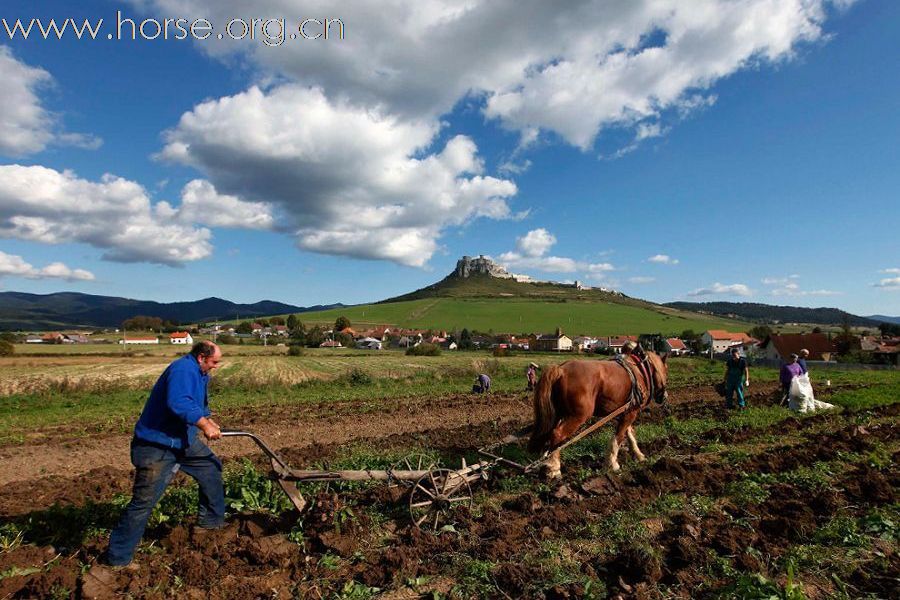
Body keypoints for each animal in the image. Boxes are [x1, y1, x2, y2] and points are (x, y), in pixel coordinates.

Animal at [528, 352, 668, 478]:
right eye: (665, 372)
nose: (664, 397)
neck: (639, 372)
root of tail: (561, 369)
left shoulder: (626, 411)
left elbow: (629, 434)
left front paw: (639, 456)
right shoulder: (631, 412)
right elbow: (619, 437)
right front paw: (613, 464)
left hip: (557, 414)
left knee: (549, 433)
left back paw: (545, 461)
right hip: (579, 416)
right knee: (557, 434)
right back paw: (554, 468)